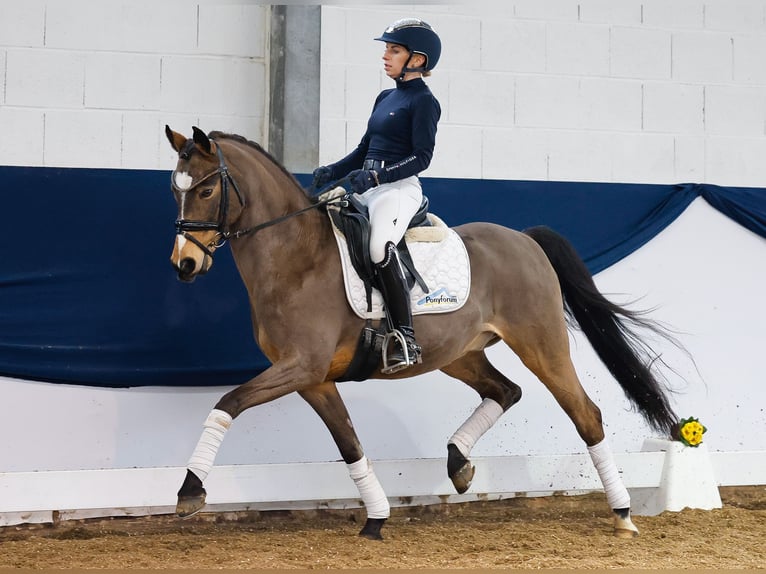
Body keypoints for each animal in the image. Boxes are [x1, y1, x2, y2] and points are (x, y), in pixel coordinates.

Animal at [166, 125, 680, 540]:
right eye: (177, 190)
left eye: (207, 189)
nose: (184, 265)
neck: (297, 258)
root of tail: (524, 239)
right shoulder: (313, 378)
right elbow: (349, 443)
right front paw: (376, 519)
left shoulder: (300, 367)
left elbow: (227, 403)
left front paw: (190, 491)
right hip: (459, 354)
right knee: (505, 390)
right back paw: (459, 464)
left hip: (542, 345)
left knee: (585, 415)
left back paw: (623, 514)